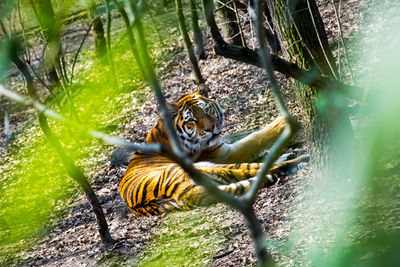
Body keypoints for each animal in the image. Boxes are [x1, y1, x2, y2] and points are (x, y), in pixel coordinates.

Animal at [119, 89, 306, 217]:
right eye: (192, 120)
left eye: (206, 110)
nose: (211, 128)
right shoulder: (224, 153)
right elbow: (253, 138)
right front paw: (281, 123)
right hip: (207, 167)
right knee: (254, 169)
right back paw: (298, 160)